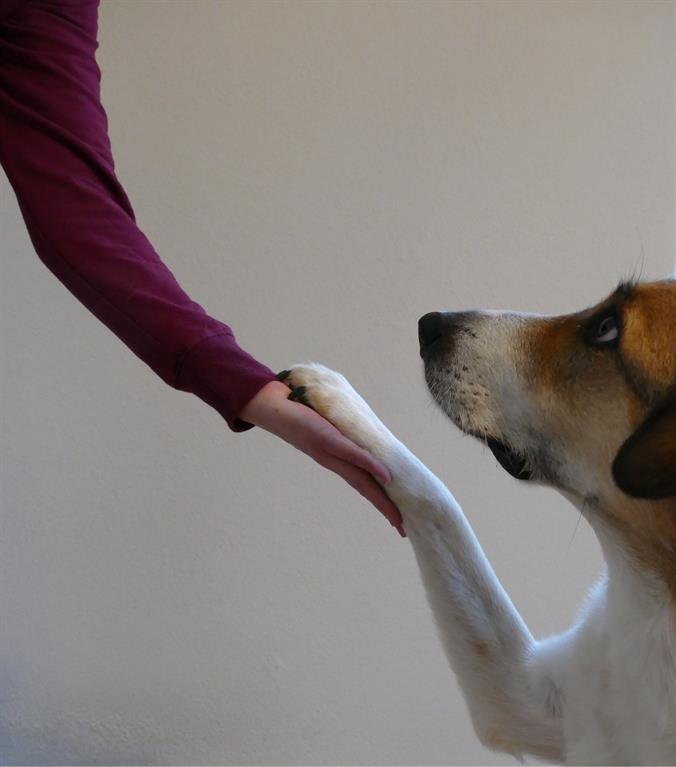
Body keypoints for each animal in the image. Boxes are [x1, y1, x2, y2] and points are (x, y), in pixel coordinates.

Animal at [280, 278, 676, 764]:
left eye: (607, 329)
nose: (430, 324)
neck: (655, 588)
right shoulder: (525, 695)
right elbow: (436, 498)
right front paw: (338, 396)